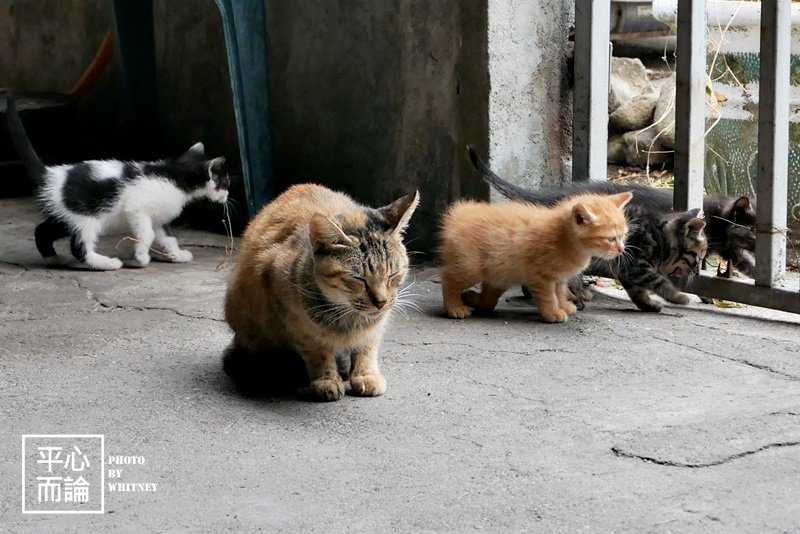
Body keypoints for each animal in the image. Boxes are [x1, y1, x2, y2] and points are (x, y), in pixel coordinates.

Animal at [6, 94, 230, 270]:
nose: (227, 195)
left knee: (42, 231)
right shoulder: (137, 209)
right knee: (79, 247)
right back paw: (106, 263)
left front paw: (177, 255)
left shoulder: (156, 216)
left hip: (67, 214)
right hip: (86, 217)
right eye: (225, 181)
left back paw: (53, 259)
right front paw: (140, 258)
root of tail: (52, 174)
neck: (174, 176)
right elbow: (147, 234)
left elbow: (167, 237)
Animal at [223, 184, 418, 402]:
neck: (347, 317)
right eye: (358, 278)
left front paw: (366, 374)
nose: (381, 302)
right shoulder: (295, 320)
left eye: (394, 274)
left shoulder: (375, 325)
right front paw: (326, 379)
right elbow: (317, 351)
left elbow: (367, 345)